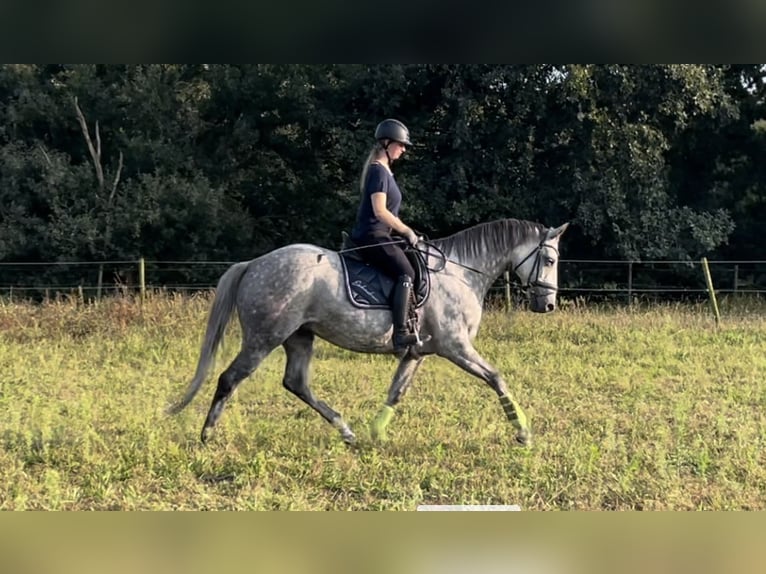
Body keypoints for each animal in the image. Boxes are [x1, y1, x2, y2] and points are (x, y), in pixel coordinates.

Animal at [171, 218, 572, 448]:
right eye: (550, 259)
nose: (548, 305)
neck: (460, 272)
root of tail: (253, 264)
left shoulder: (417, 352)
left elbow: (396, 392)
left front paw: (377, 433)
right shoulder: (456, 347)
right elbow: (496, 378)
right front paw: (523, 432)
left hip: (299, 337)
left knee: (296, 382)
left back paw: (346, 432)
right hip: (263, 338)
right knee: (230, 378)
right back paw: (207, 436)